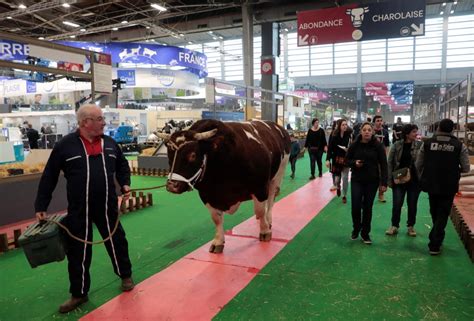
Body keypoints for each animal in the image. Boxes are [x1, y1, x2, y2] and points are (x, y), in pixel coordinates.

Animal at [159, 118, 290, 252]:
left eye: (192, 155)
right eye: (169, 154)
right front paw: (218, 241)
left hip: (278, 174)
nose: (172, 185)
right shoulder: (206, 194)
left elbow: (260, 210)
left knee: (271, 199)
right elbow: (216, 219)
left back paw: (268, 220)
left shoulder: (259, 187)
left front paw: (265, 231)